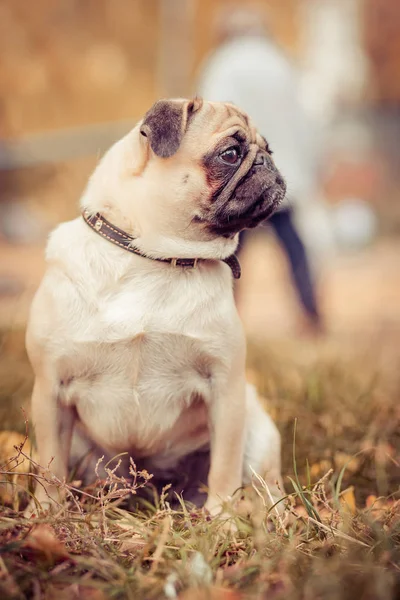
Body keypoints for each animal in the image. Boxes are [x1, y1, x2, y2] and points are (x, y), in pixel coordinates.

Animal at [25, 98, 288, 516]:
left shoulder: (226, 389)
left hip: (259, 431)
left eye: (269, 150)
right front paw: (46, 512)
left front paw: (222, 517)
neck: (154, 258)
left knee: (264, 483)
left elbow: (225, 465)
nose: (267, 163)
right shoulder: (51, 390)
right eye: (231, 154)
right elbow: (51, 466)